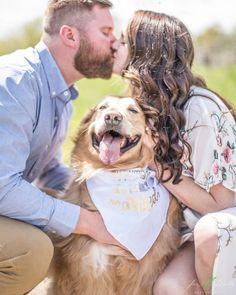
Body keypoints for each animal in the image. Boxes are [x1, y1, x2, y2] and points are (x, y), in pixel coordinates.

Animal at [47, 96, 182, 295]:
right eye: (102, 107)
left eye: (133, 110)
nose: (112, 117)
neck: (114, 171)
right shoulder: (87, 272)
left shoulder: (145, 274)